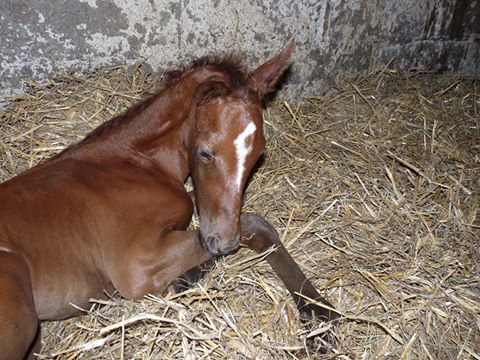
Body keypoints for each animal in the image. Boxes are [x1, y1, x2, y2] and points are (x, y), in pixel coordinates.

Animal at [0, 43, 338, 358]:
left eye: (258, 155)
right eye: (205, 152)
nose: (223, 242)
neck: (133, 162)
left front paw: (317, 310)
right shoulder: (135, 267)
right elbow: (255, 223)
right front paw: (318, 311)